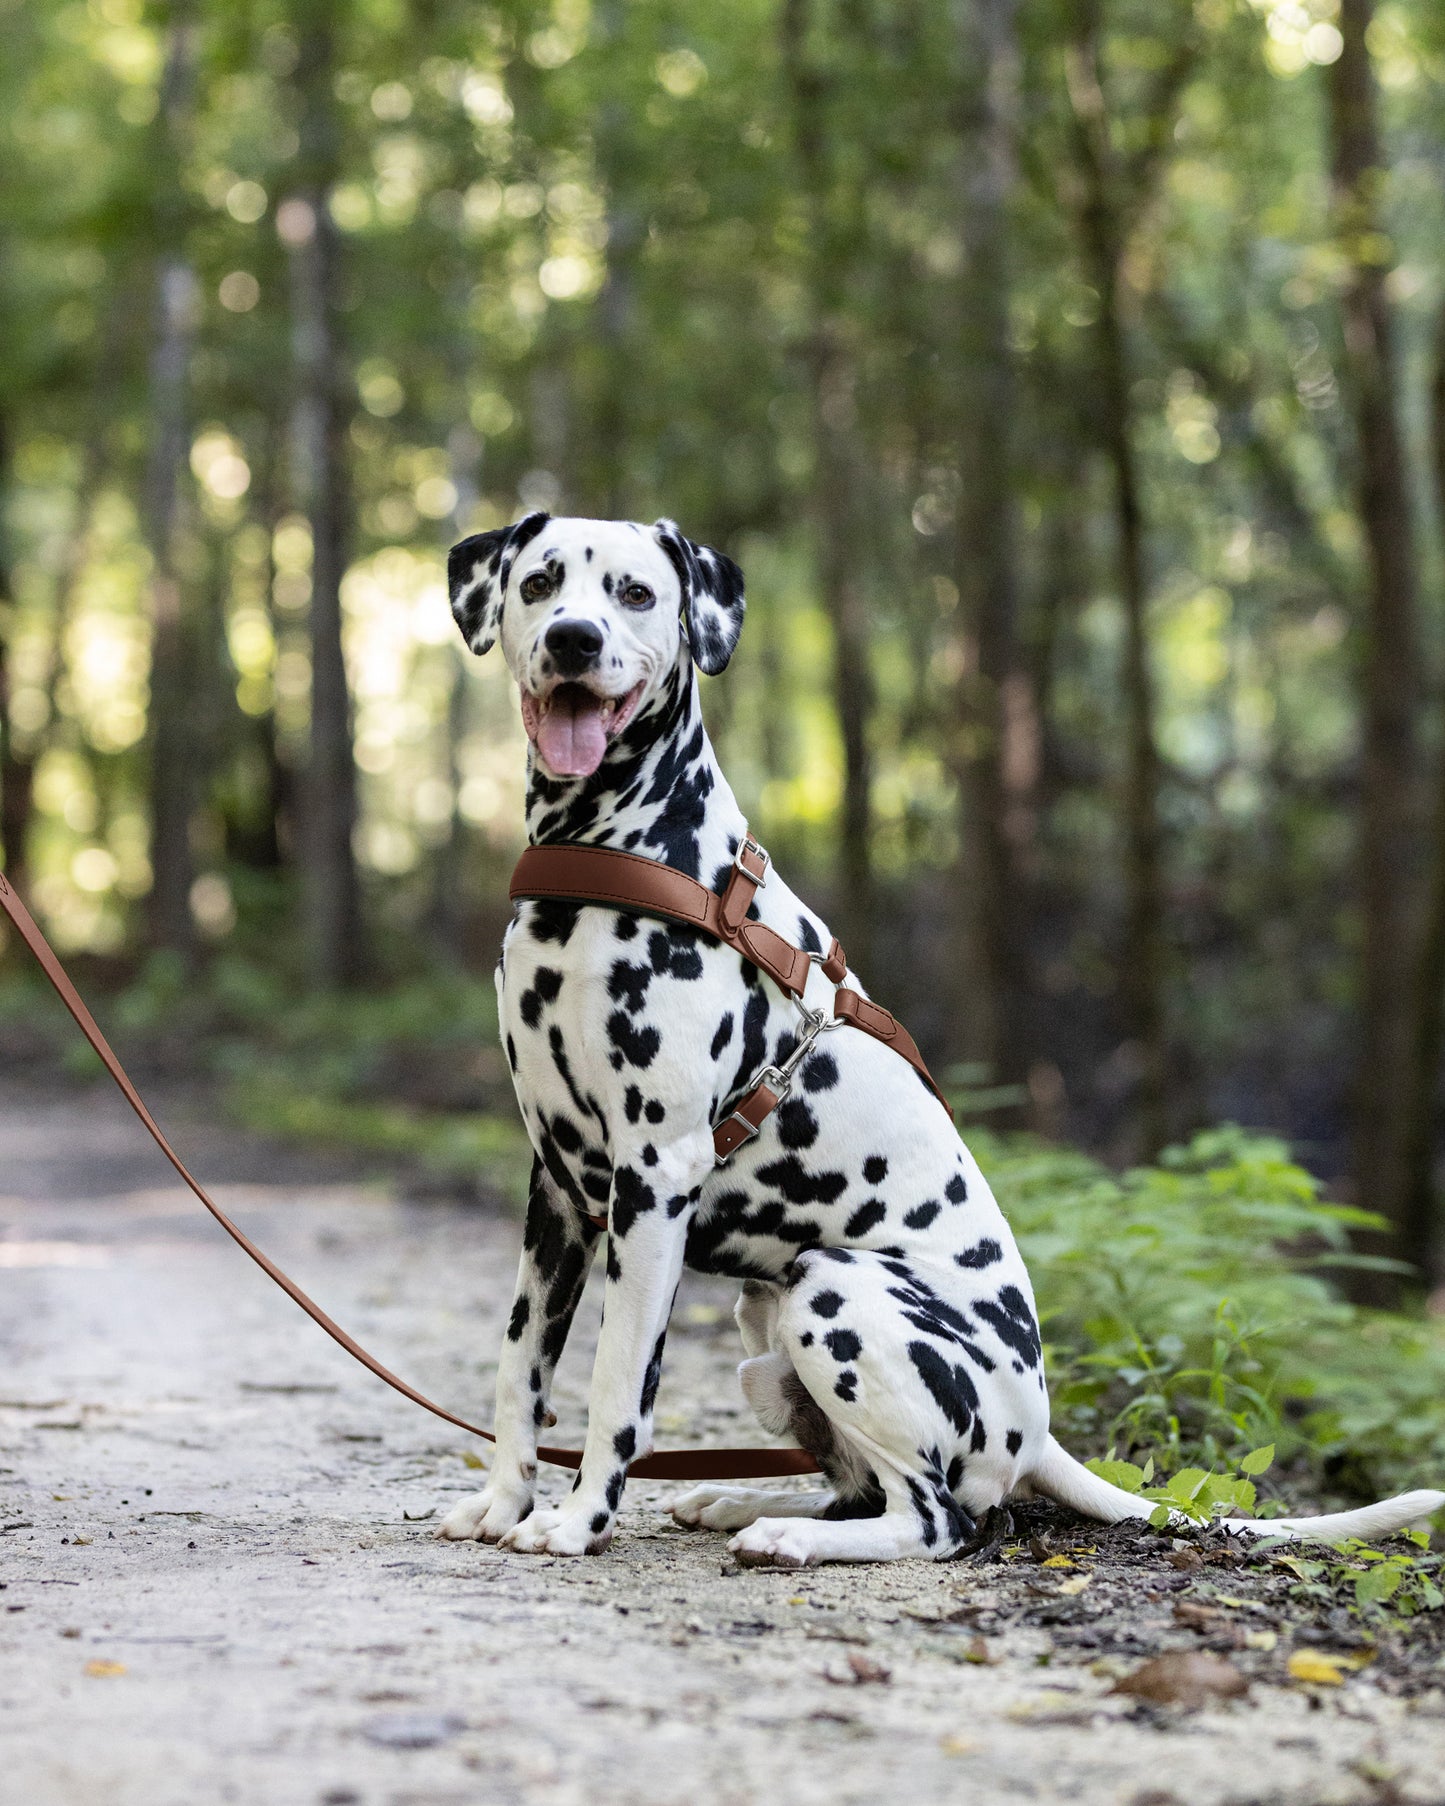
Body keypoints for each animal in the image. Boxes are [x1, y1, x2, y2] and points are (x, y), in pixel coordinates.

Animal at [435, 512, 1445, 1567]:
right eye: (541, 582)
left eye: (634, 593)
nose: (572, 641)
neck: (611, 857)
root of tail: (1039, 1431)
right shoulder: (558, 1187)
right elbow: (519, 1368)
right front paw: (502, 1502)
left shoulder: (652, 1179)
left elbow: (616, 1384)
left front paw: (577, 1519)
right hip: (766, 1325)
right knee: (856, 1489)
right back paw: (743, 1504)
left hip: (832, 1290)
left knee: (935, 1520)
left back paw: (787, 1535)